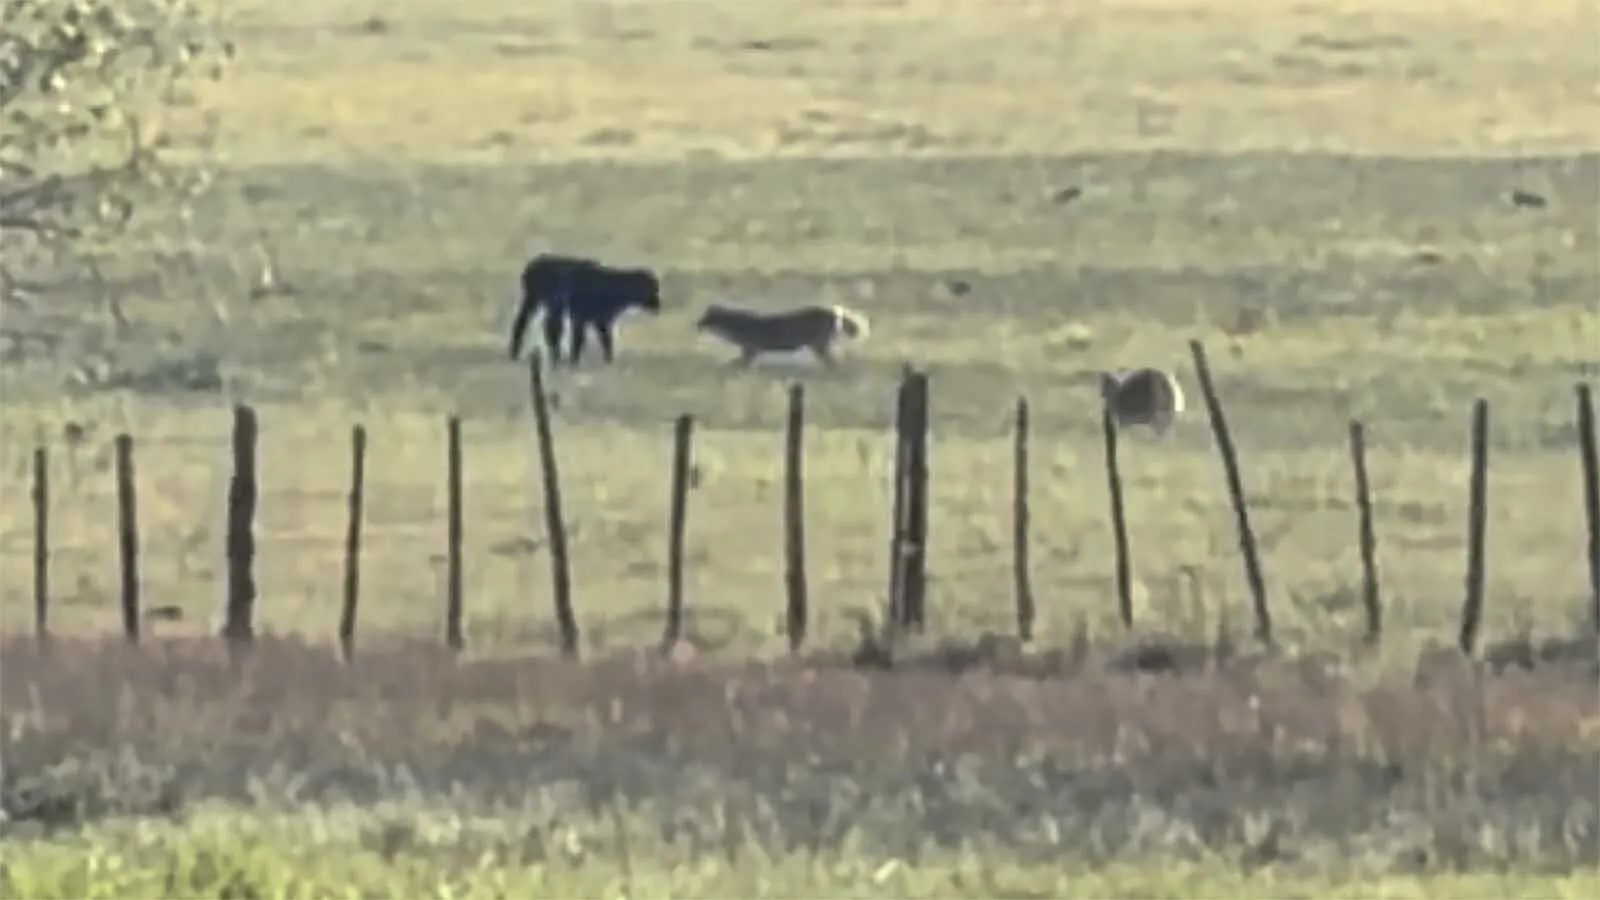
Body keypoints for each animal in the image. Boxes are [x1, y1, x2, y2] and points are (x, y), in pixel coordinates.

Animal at [507, 253, 663, 366]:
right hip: (536, 300)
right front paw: (574, 360)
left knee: (539, 325)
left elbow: (606, 340)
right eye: (652, 288)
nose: (658, 305)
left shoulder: (600, 320)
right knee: (537, 325)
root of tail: (531, 268)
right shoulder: (580, 316)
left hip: (537, 301)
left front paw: (608, 360)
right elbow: (579, 339)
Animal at [694, 303, 871, 367]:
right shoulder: (749, 350)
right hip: (819, 345)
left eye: (705, 318)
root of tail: (832, 310)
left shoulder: (751, 349)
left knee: (831, 361)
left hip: (818, 344)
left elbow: (741, 362)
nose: (697, 324)